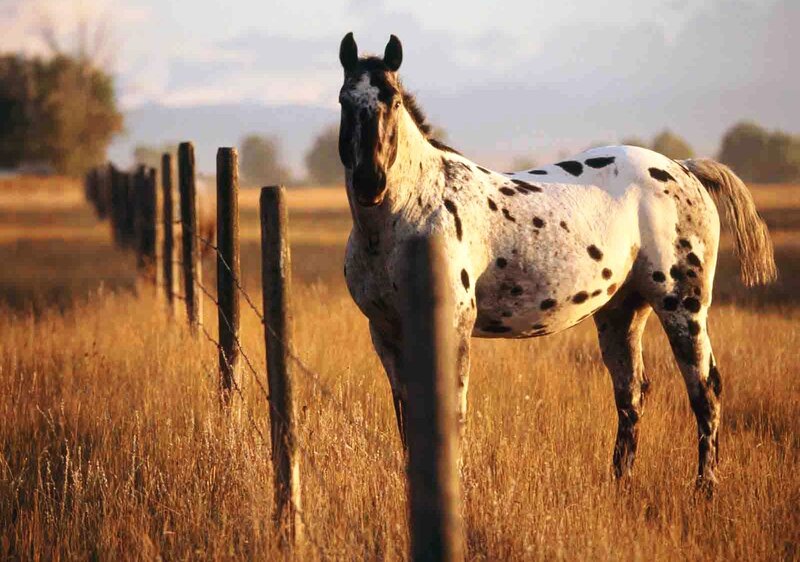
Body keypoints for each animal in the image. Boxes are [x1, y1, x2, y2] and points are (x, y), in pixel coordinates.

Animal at [337, 32, 777, 490]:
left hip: (683, 306)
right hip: (622, 310)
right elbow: (406, 415)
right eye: (344, 100)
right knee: (632, 393)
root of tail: (685, 168)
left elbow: (451, 411)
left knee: (705, 389)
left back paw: (705, 487)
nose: (370, 182)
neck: (414, 210)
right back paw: (620, 483)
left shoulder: (452, 326)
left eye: (393, 101)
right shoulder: (385, 332)